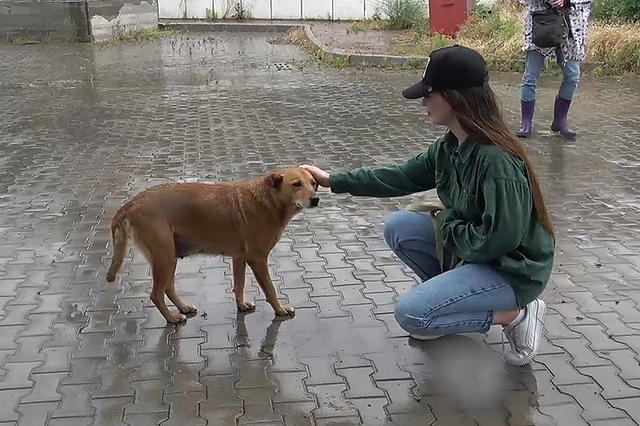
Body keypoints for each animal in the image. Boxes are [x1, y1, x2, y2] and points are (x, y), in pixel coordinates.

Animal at [105, 168, 320, 324]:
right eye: (296, 184)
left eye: (313, 183)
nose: (316, 199)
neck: (268, 201)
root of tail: (132, 203)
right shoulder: (257, 259)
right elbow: (270, 289)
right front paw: (280, 309)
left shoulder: (239, 257)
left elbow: (239, 284)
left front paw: (241, 305)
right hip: (163, 257)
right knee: (156, 295)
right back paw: (172, 318)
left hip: (170, 256)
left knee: (168, 288)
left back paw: (183, 307)